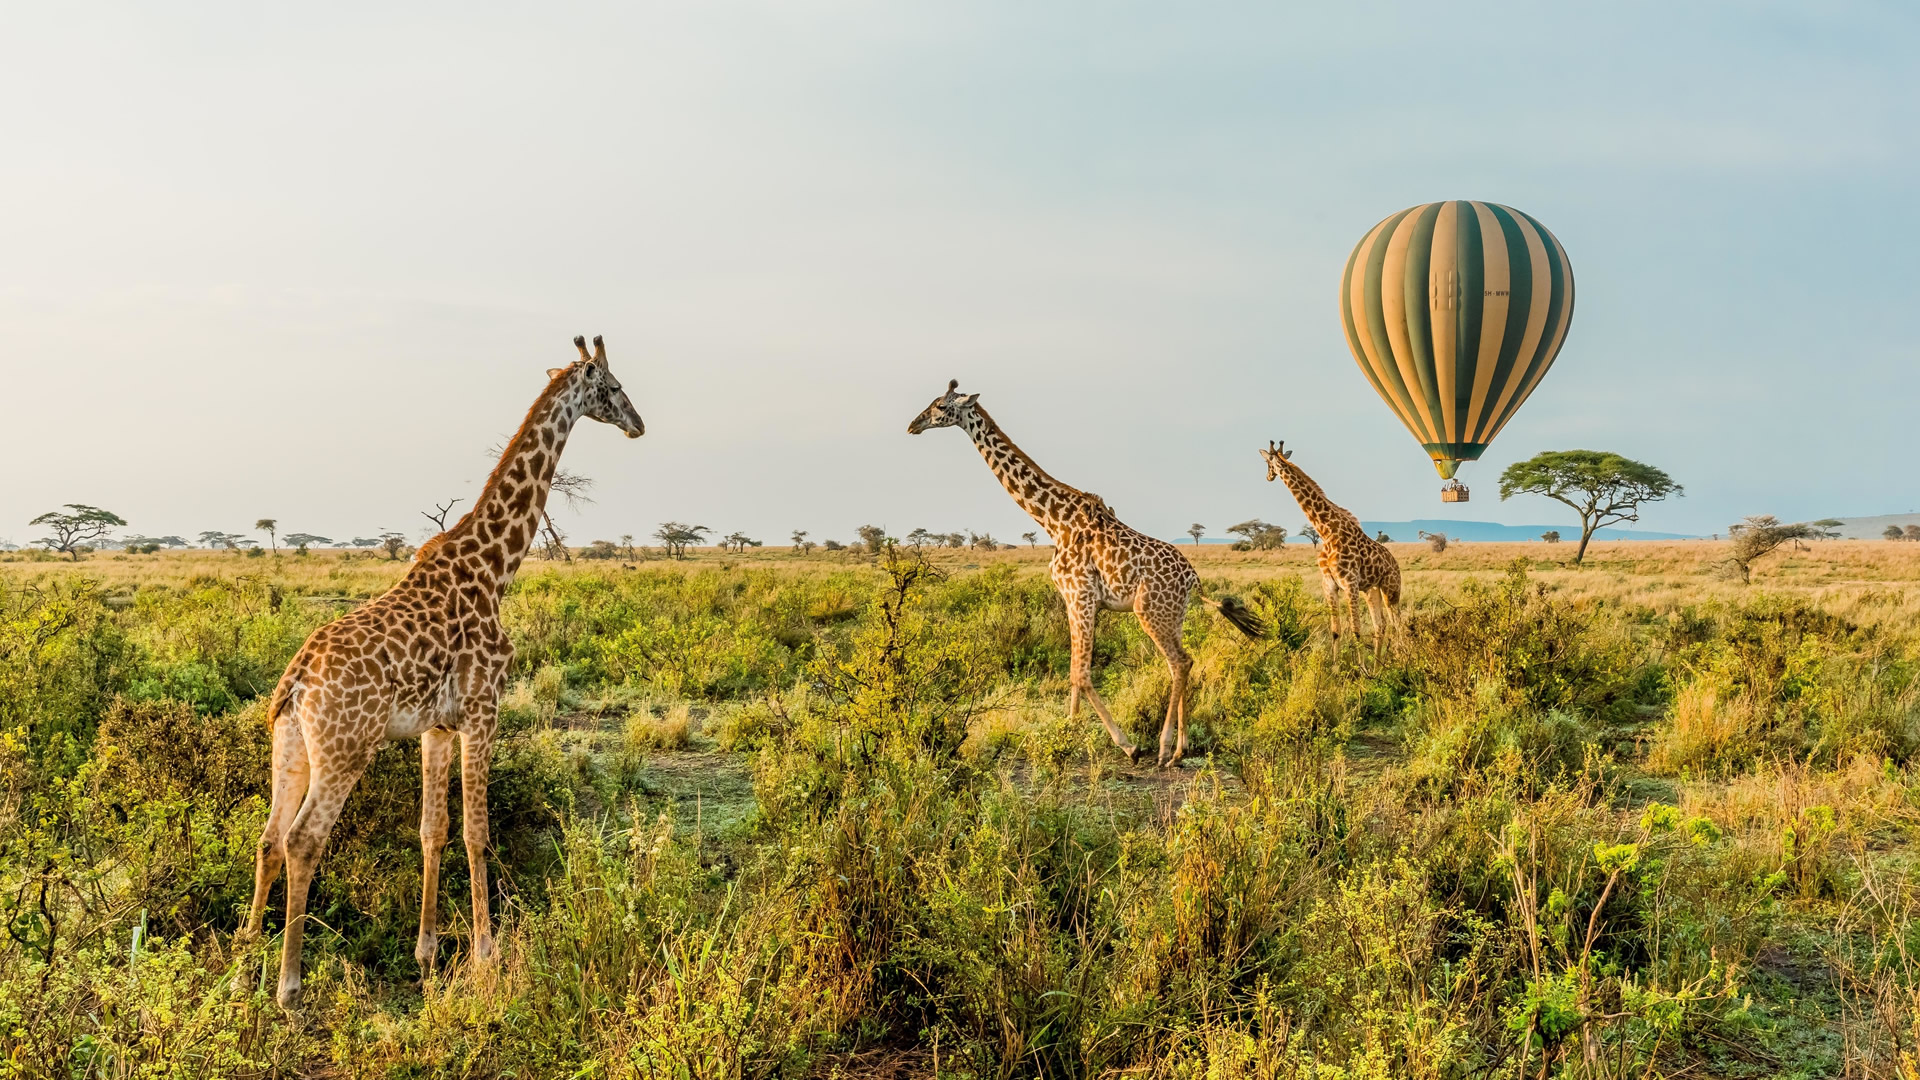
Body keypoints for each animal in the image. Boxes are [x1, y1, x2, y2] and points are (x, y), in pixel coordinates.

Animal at [237, 334, 645, 999]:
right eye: (611, 387)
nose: (639, 423)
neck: (496, 568)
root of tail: (296, 681)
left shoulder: (437, 726)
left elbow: (434, 830)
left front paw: (427, 952)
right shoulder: (484, 710)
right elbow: (478, 832)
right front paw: (486, 955)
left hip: (290, 744)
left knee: (270, 838)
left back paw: (246, 957)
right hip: (346, 749)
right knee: (303, 841)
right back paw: (289, 987)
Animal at [906, 380, 1267, 764]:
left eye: (940, 406)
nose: (913, 424)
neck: (1052, 521)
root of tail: (1194, 580)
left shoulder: (1081, 596)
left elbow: (1081, 673)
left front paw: (1127, 744)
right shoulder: (1071, 599)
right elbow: (1072, 672)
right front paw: (1068, 731)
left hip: (1149, 611)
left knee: (1180, 662)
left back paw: (1164, 747)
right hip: (1174, 615)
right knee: (1183, 662)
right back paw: (1181, 748)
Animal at [1251, 438, 1405, 657]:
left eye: (1267, 463)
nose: (1268, 477)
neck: (1327, 531)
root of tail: (1395, 563)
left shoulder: (1350, 583)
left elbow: (1356, 630)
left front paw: (1359, 667)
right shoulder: (1329, 583)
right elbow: (1336, 630)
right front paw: (1335, 665)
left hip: (1390, 589)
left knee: (1397, 624)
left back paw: (1402, 658)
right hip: (1371, 590)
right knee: (1380, 626)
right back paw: (1380, 664)